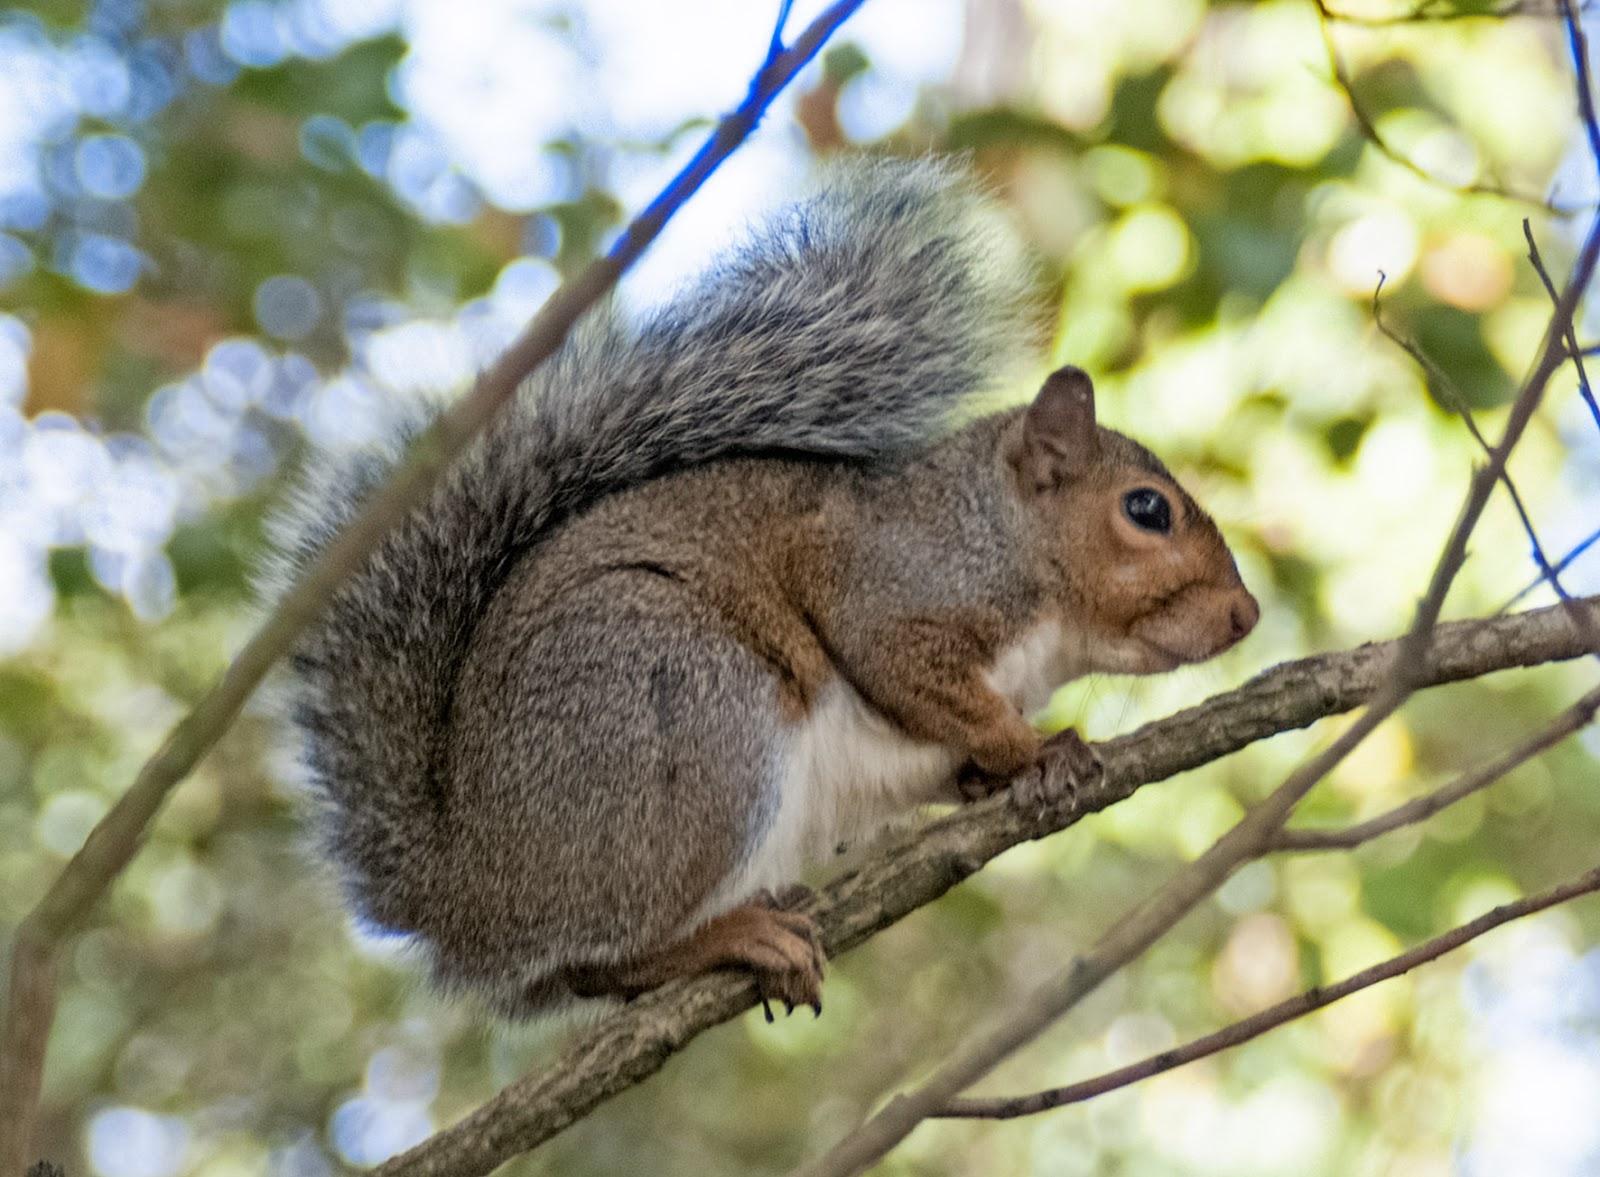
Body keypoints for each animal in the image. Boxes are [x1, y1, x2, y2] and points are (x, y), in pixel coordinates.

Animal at [267, 158, 1258, 1019]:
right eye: (1147, 509)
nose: (1247, 614)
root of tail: (462, 891)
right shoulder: (886, 585)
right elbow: (927, 680)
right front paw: (1038, 748)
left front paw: (1005, 770)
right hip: (690, 717)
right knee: (603, 955)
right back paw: (736, 936)